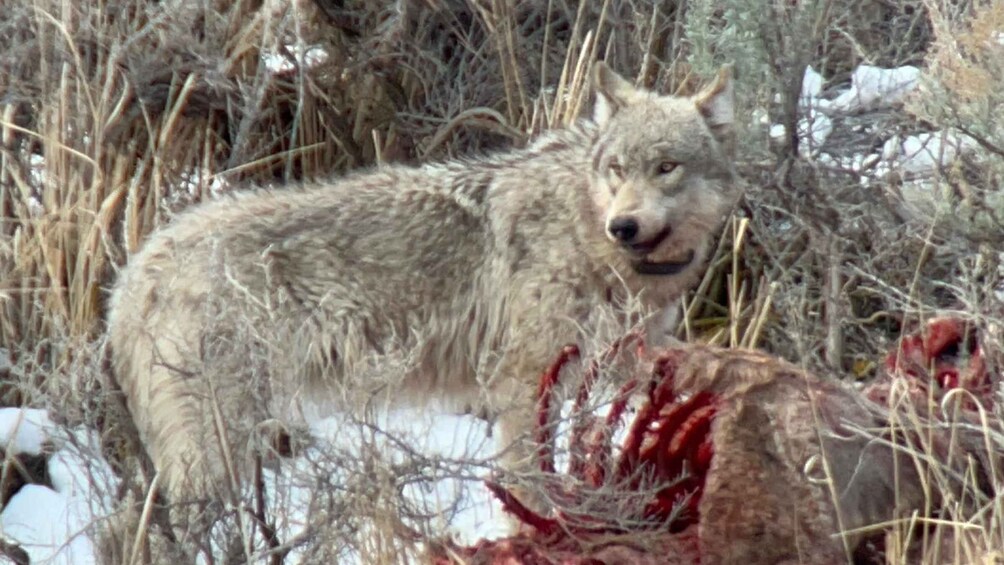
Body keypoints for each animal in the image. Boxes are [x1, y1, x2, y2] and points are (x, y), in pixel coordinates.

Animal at [105, 60, 742, 507]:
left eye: (666, 167)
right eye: (616, 169)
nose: (624, 226)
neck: (587, 230)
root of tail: (136, 269)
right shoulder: (521, 386)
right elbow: (528, 489)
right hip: (219, 448)